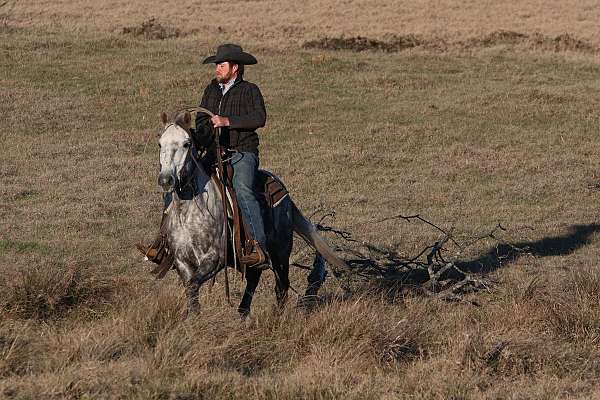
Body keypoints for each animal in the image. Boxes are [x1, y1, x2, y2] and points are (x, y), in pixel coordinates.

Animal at [155, 110, 346, 316]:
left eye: (186, 143)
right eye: (160, 143)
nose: (166, 180)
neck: (189, 211)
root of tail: (282, 190)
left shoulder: (214, 259)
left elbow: (193, 285)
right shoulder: (182, 261)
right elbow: (191, 291)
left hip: (281, 253)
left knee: (282, 287)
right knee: (254, 279)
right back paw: (242, 313)